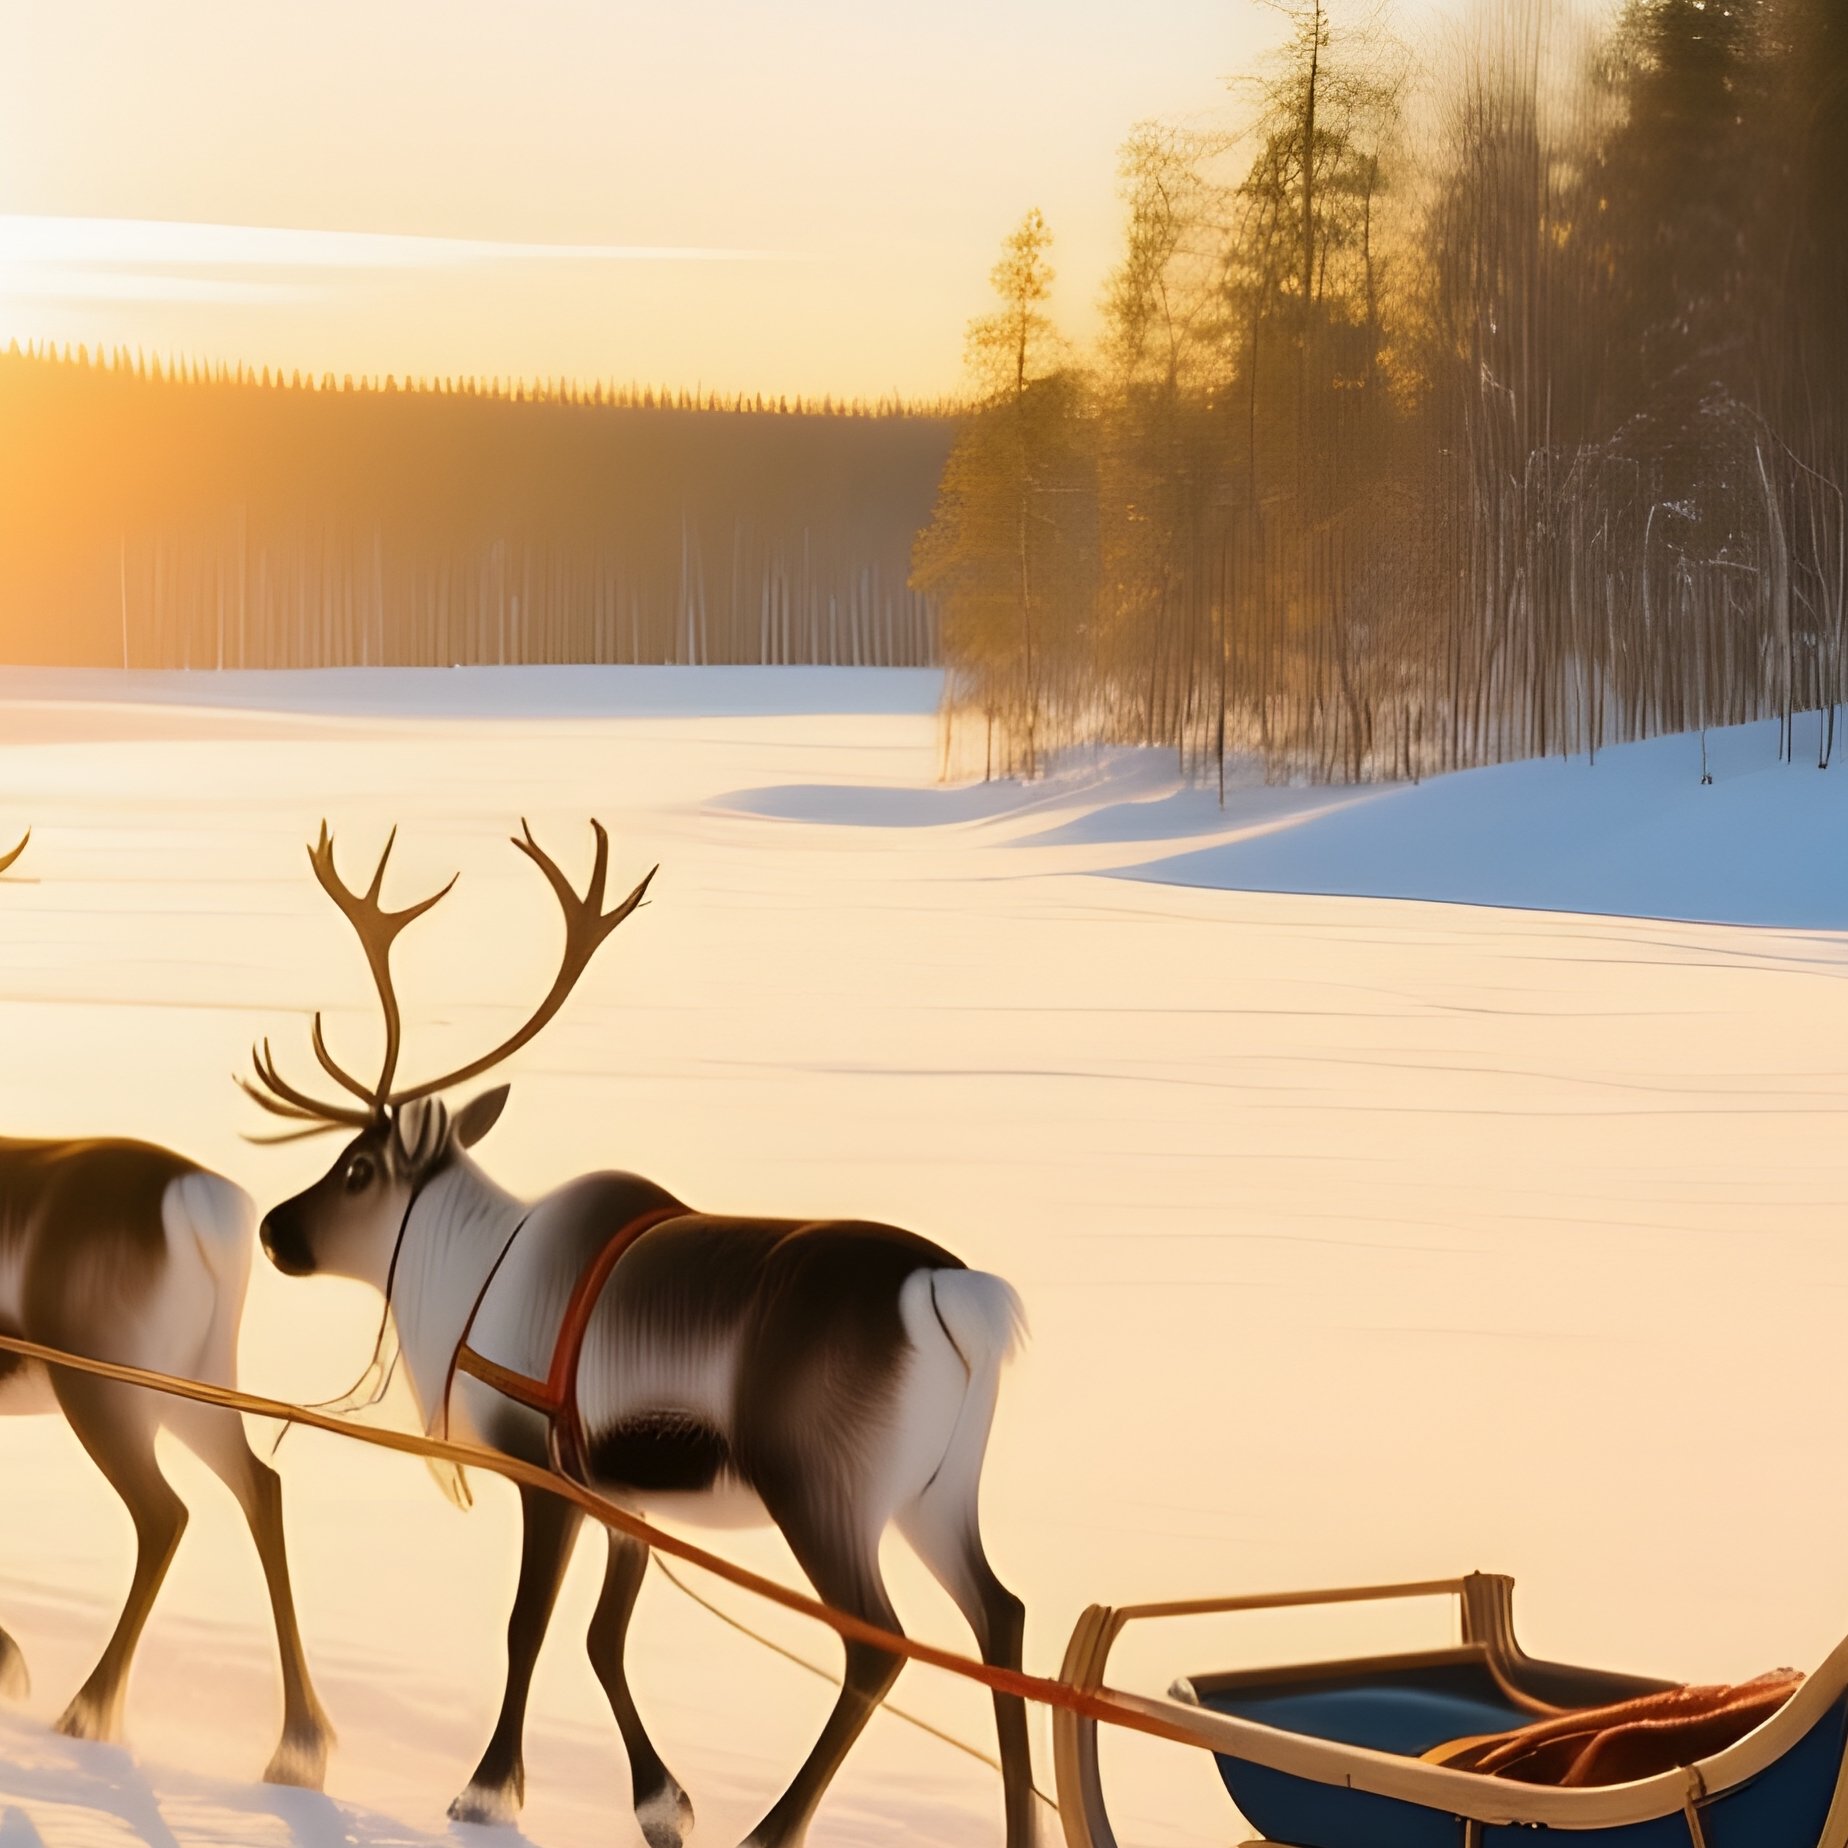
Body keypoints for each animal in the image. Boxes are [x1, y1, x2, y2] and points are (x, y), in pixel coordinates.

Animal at [0, 828, 330, 1785]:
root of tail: (200, 1200)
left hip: (106, 1389)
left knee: (165, 1514)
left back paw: (85, 1710)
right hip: (193, 1382)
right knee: (261, 1485)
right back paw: (297, 1746)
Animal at [244, 819, 1035, 1848]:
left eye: (355, 1168)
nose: (272, 1232)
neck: (471, 1279)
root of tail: (948, 1290)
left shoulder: (544, 1471)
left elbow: (529, 1626)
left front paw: (485, 1792)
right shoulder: (625, 1496)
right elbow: (604, 1638)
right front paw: (663, 1802)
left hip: (821, 1483)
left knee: (879, 1645)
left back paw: (770, 1829)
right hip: (935, 1494)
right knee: (1003, 1619)